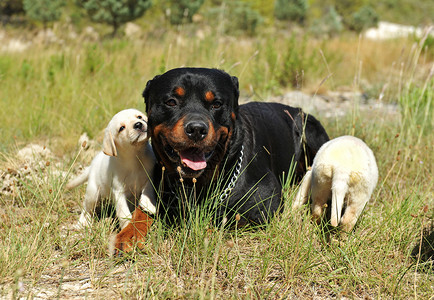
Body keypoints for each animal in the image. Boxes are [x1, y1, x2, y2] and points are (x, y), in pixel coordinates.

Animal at [112, 68, 328, 253]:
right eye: (171, 102)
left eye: (216, 104)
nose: (196, 129)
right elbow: (141, 212)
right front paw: (128, 234)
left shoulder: (267, 204)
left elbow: (225, 220)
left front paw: (200, 233)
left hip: (311, 129)